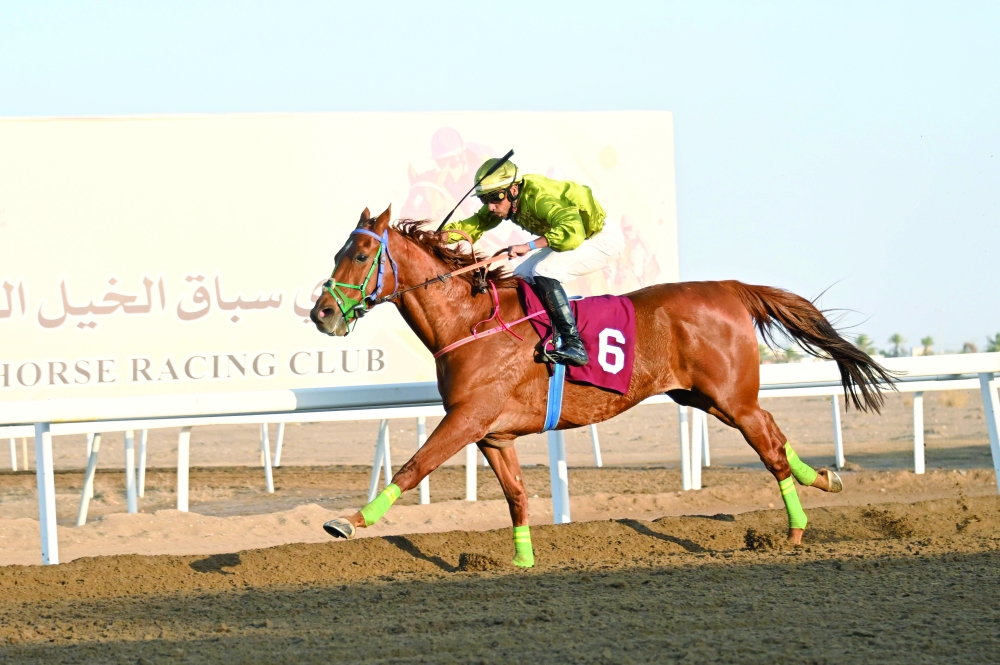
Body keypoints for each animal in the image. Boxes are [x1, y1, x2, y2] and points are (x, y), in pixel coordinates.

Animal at [310, 205, 895, 567]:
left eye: (359, 255)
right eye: (337, 252)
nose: (321, 313)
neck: (470, 323)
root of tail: (729, 287)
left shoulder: (468, 418)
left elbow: (413, 467)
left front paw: (348, 521)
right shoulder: (493, 434)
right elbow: (516, 495)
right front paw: (523, 558)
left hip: (731, 395)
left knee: (769, 447)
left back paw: (795, 530)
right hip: (704, 396)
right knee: (773, 432)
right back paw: (825, 480)